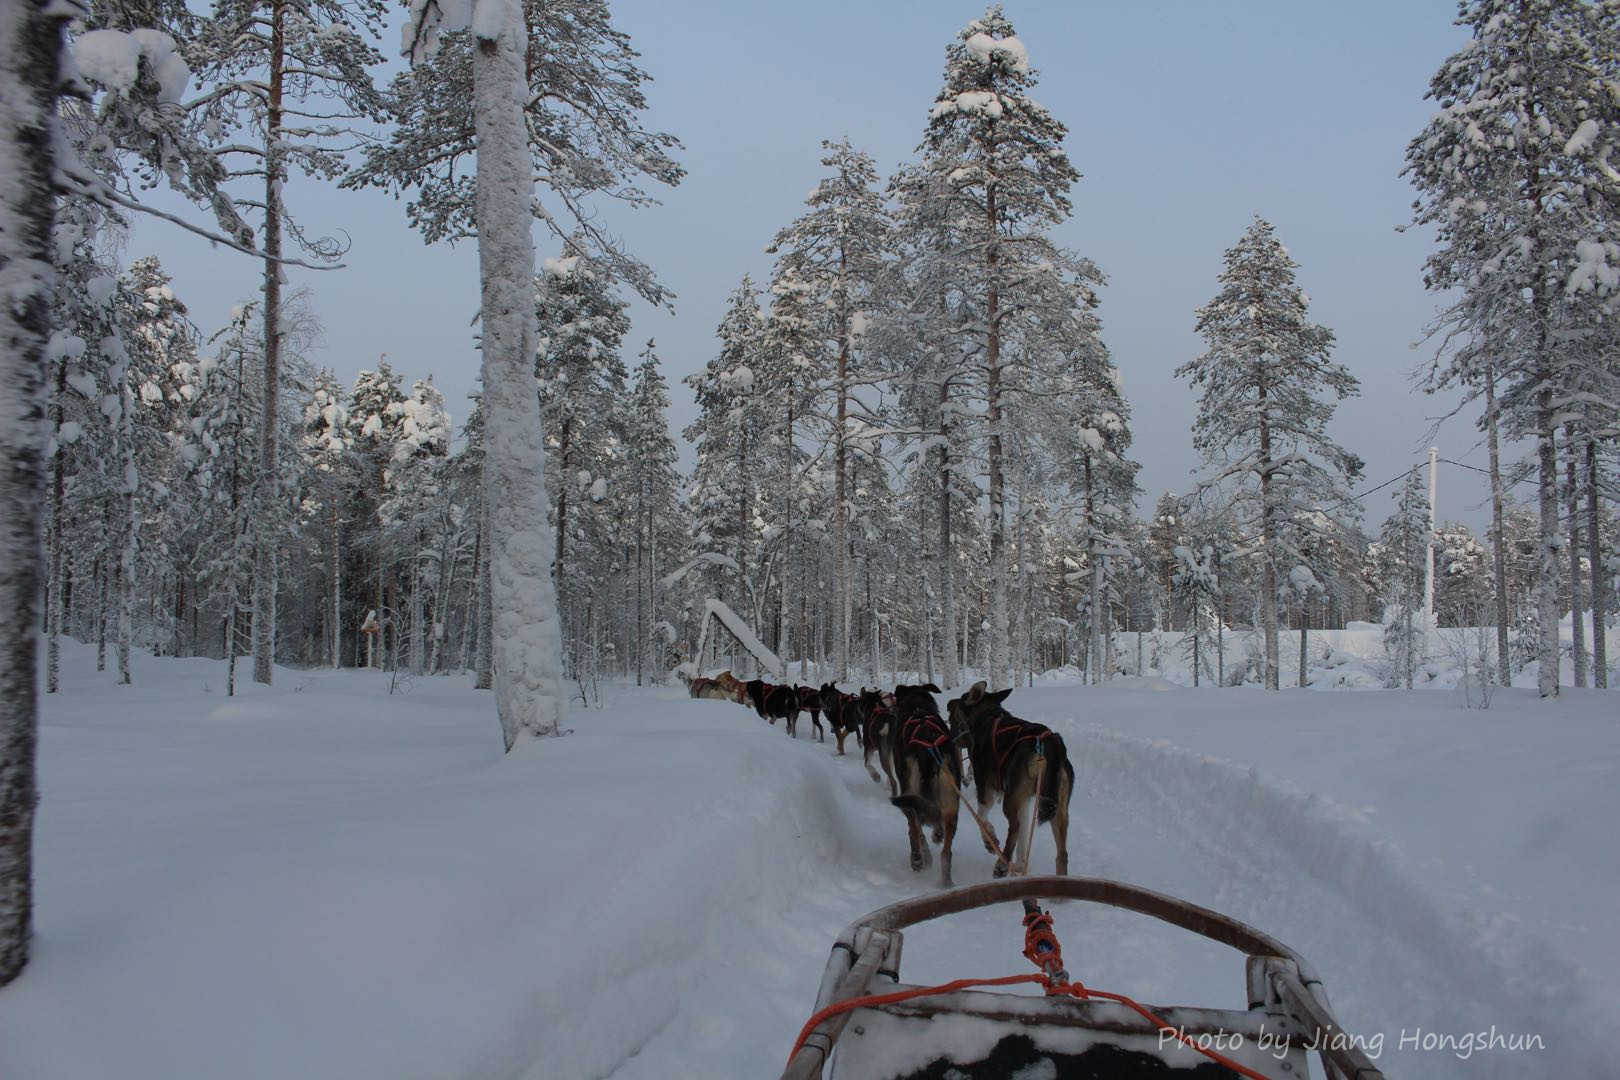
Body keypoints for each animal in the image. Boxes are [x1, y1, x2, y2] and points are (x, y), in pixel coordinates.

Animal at [946, 683, 1069, 880]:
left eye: (956, 705)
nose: (948, 702)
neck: (987, 717)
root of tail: (1049, 742)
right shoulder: (1023, 798)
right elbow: (1024, 832)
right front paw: (1020, 865)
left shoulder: (986, 786)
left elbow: (982, 816)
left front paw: (990, 841)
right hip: (1059, 809)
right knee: (1062, 852)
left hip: (1010, 799)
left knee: (1014, 826)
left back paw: (1002, 864)